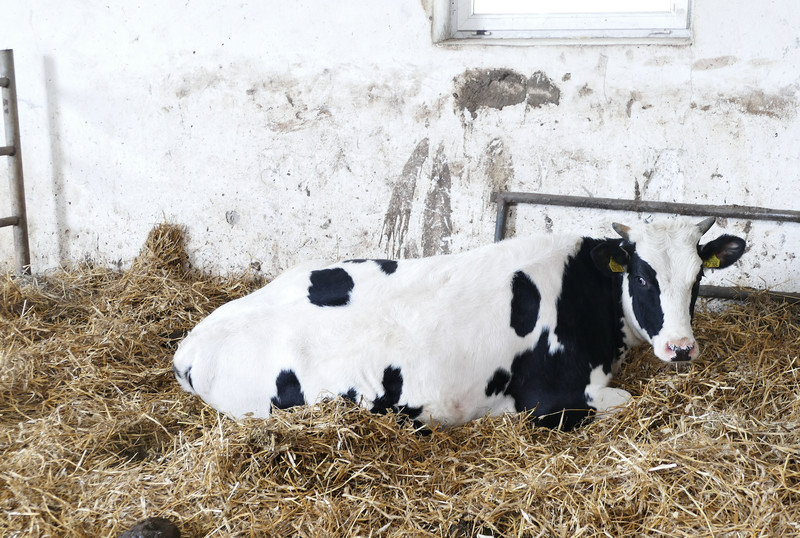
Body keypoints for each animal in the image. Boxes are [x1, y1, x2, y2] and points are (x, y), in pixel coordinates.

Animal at [172, 216, 748, 430]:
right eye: (644, 278)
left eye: (698, 277)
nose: (681, 348)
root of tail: (192, 346)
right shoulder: (551, 400)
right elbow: (623, 401)